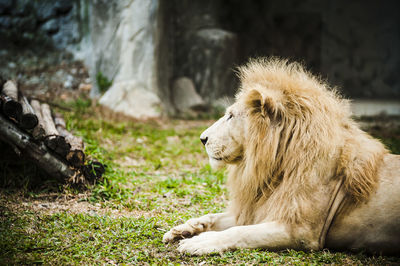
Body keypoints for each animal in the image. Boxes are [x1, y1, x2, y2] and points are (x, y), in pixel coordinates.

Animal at [162, 58, 400, 256]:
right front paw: (183, 229)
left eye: (231, 116)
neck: (277, 167)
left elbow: (240, 232)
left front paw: (200, 241)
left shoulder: (300, 230)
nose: (202, 139)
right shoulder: (257, 210)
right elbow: (214, 216)